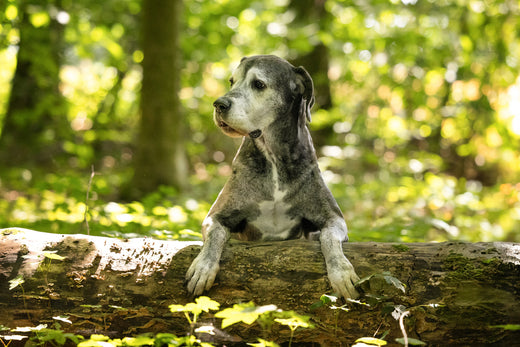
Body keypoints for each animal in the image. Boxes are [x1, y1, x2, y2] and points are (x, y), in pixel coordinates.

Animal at [187, 54, 362, 300]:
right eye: (232, 81)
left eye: (259, 84)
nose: (219, 104)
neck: (274, 158)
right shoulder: (216, 216)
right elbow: (215, 235)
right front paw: (203, 267)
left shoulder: (334, 219)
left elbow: (328, 238)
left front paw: (341, 272)